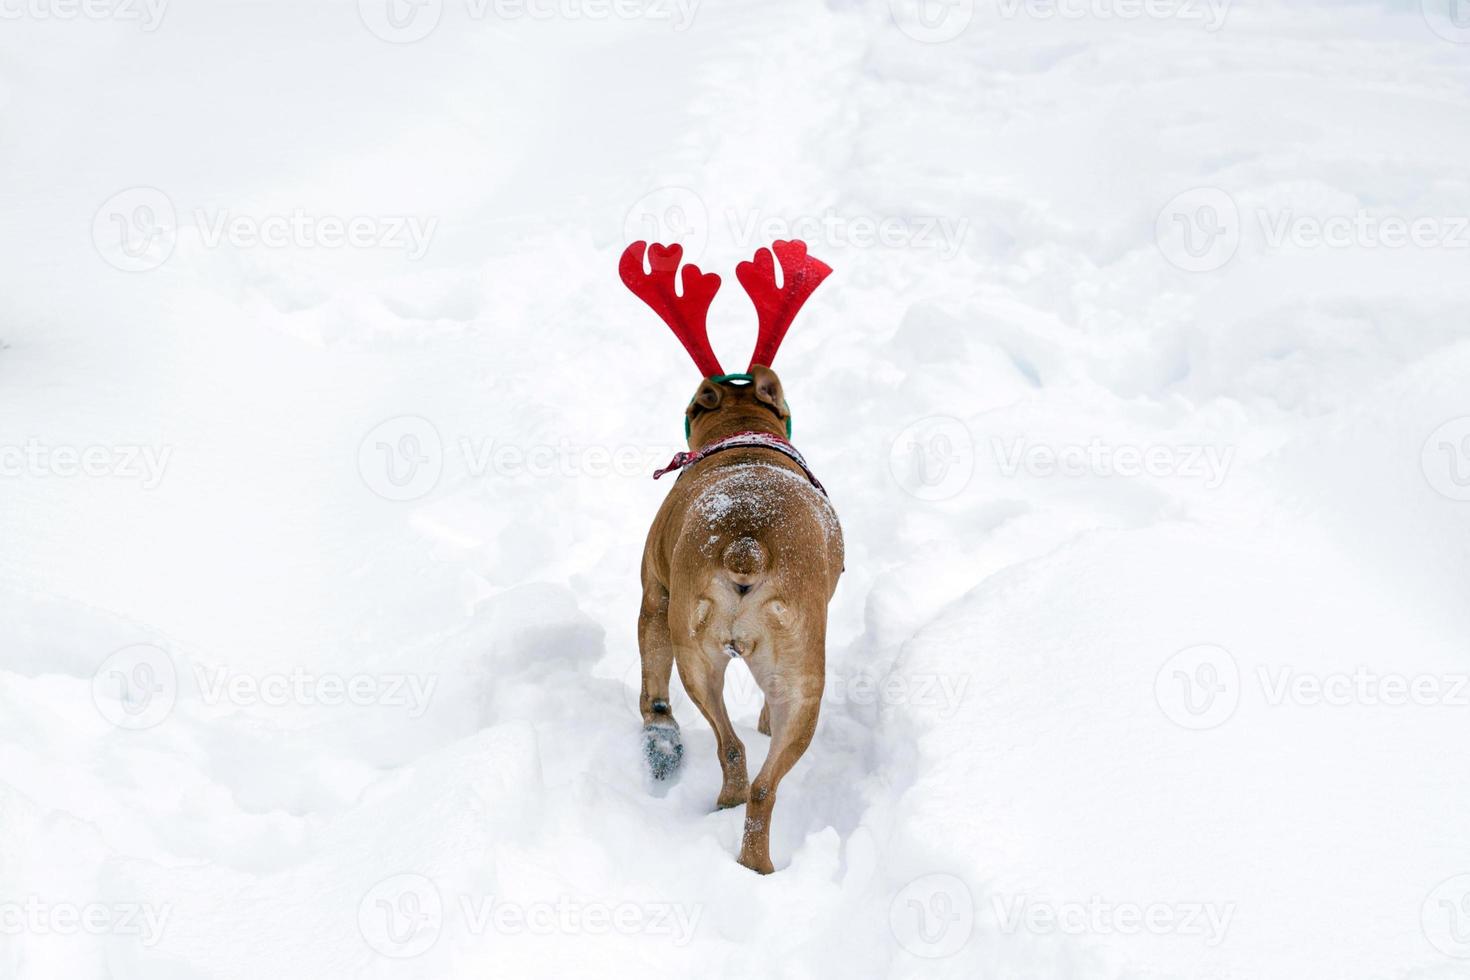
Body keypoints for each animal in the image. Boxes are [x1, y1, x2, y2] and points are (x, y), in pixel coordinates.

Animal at [623, 238, 852, 875]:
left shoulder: (654, 593)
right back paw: (756, 862)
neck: (743, 432)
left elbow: (652, 691)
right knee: (763, 780)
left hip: (692, 644)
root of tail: (747, 541)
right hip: (800, 673)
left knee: (729, 746)